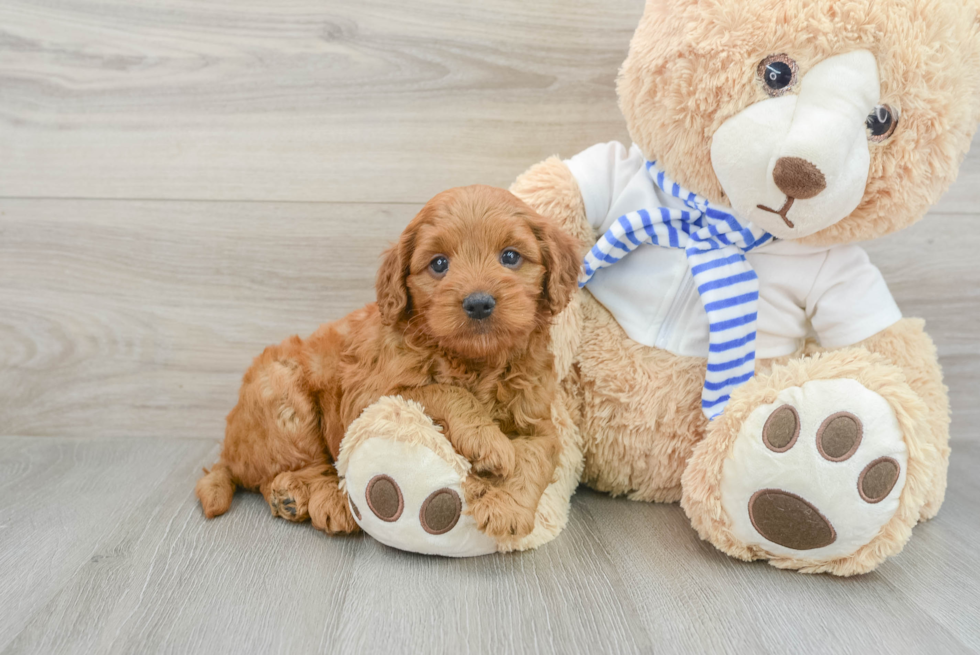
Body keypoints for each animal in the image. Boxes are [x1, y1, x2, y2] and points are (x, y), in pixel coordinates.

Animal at [197, 184, 580, 540]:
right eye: (439, 263)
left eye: (511, 256)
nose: (479, 303)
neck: (475, 361)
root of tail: (228, 447)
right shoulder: (370, 398)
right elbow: (444, 392)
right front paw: (488, 442)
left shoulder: (537, 420)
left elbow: (537, 455)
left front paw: (507, 507)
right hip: (283, 395)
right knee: (302, 465)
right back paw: (319, 498)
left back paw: (287, 498)